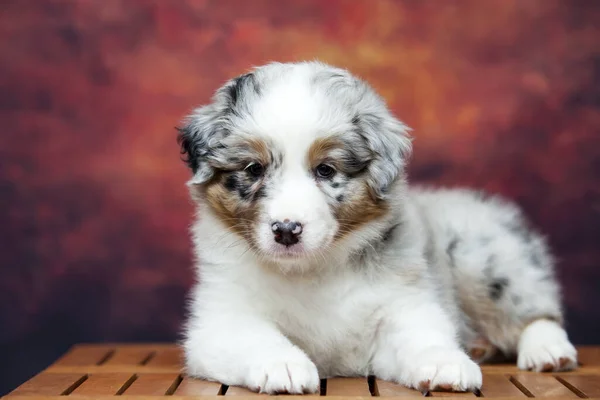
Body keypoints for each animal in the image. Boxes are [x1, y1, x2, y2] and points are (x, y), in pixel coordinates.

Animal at [177, 61, 576, 394]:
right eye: (253, 169)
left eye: (326, 170)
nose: (286, 230)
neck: (312, 270)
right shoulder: (220, 317)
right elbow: (254, 337)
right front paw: (284, 365)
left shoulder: (403, 303)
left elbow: (422, 334)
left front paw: (445, 363)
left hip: (484, 258)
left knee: (537, 311)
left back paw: (547, 350)